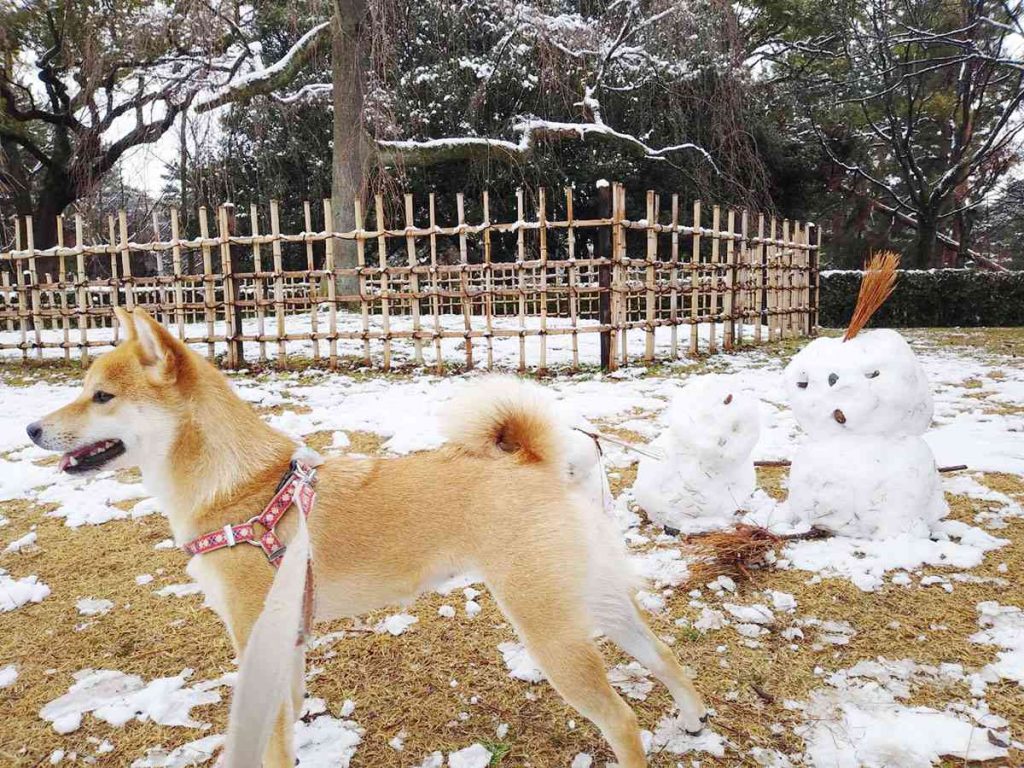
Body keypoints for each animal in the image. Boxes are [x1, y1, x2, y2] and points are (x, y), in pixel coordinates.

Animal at [28, 309, 708, 768]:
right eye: (84, 389)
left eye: (101, 396)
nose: (31, 428)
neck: (238, 487)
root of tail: (539, 460)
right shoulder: (286, 637)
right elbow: (287, 722)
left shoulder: (254, 633)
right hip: (587, 600)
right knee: (662, 653)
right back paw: (695, 718)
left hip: (548, 628)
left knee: (622, 720)